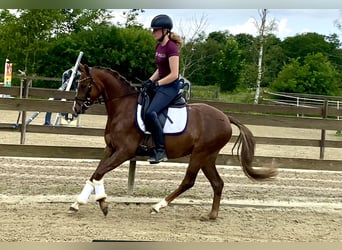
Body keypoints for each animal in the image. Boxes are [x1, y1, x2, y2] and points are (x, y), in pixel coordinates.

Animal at [69, 65, 278, 221]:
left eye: (85, 85)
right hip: (208, 157)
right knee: (217, 183)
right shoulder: (110, 148)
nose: (76, 109)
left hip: (200, 154)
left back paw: (158, 206)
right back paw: (211, 215)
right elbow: (95, 173)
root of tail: (226, 117)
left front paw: (102, 203)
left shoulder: (124, 151)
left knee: (189, 181)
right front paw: (78, 203)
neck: (122, 107)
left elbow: (99, 172)